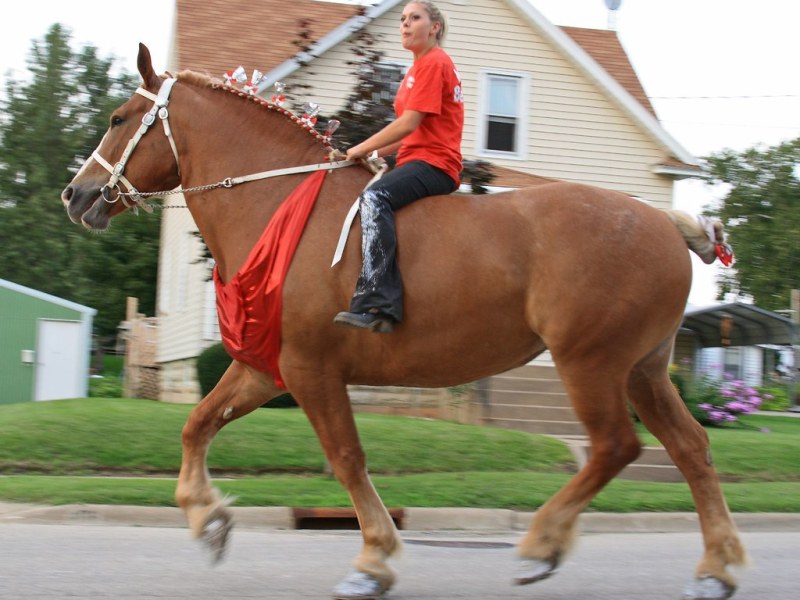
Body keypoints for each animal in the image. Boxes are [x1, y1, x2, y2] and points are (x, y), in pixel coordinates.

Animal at [61, 44, 746, 600]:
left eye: (119, 118)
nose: (77, 193)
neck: (279, 203)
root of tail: (667, 225)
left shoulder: (310, 369)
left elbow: (346, 458)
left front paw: (374, 559)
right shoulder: (266, 368)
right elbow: (197, 425)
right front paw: (208, 520)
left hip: (591, 362)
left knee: (615, 446)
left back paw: (541, 545)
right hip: (642, 370)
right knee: (691, 447)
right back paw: (716, 568)